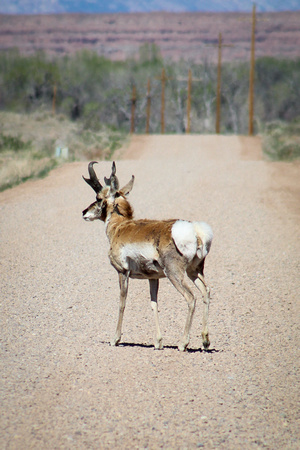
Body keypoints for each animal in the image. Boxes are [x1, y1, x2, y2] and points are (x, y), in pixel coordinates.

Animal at [82, 162, 213, 352]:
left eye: (98, 198)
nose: (84, 212)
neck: (120, 226)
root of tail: (195, 230)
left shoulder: (122, 272)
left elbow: (122, 302)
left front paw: (115, 339)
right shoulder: (153, 278)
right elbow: (154, 304)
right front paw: (158, 342)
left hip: (175, 274)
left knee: (191, 298)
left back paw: (183, 343)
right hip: (194, 272)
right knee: (206, 292)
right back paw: (205, 340)